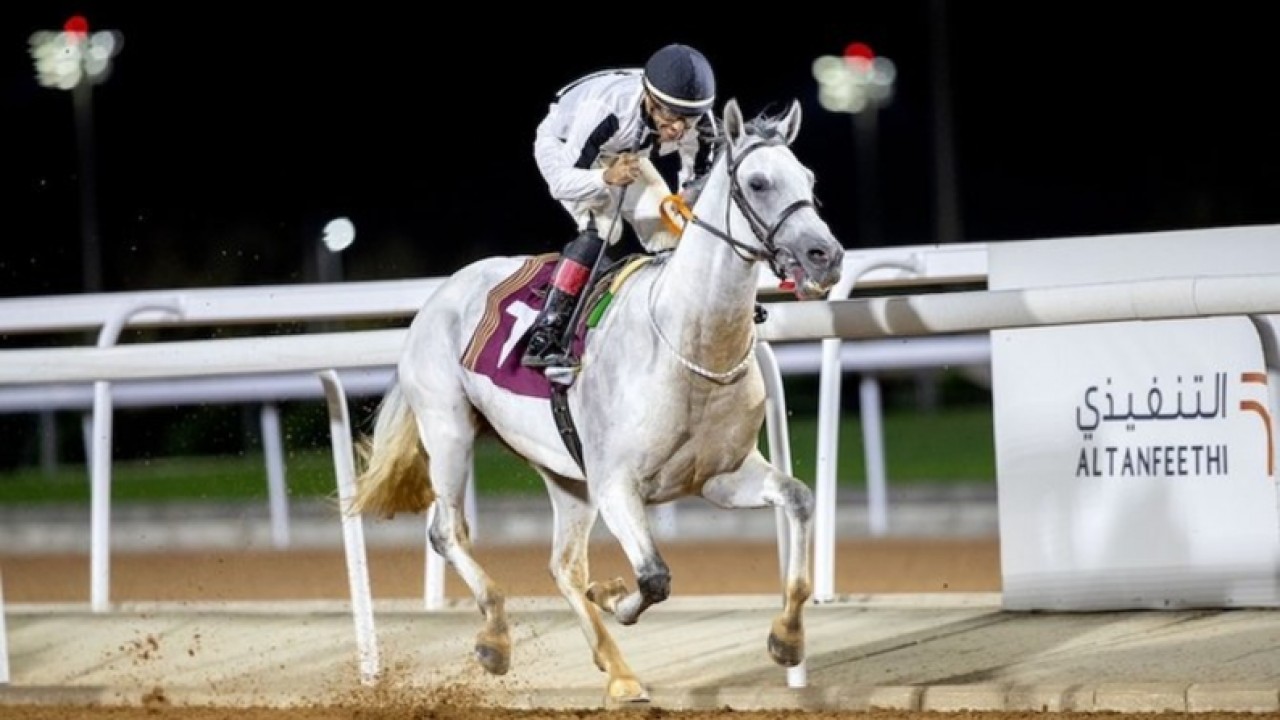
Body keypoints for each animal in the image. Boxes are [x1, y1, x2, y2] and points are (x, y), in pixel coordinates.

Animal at [353, 95, 849, 702]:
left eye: (809, 179)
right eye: (757, 182)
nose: (825, 255)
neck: (690, 343)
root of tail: (439, 295)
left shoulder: (721, 477)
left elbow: (799, 500)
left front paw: (787, 638)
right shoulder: (617, 484)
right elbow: (654, 577)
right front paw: (614, 596)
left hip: (564, 473)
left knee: (564, 565)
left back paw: (619, 671)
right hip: (448, 428)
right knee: (448, 530)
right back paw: (495, 637)